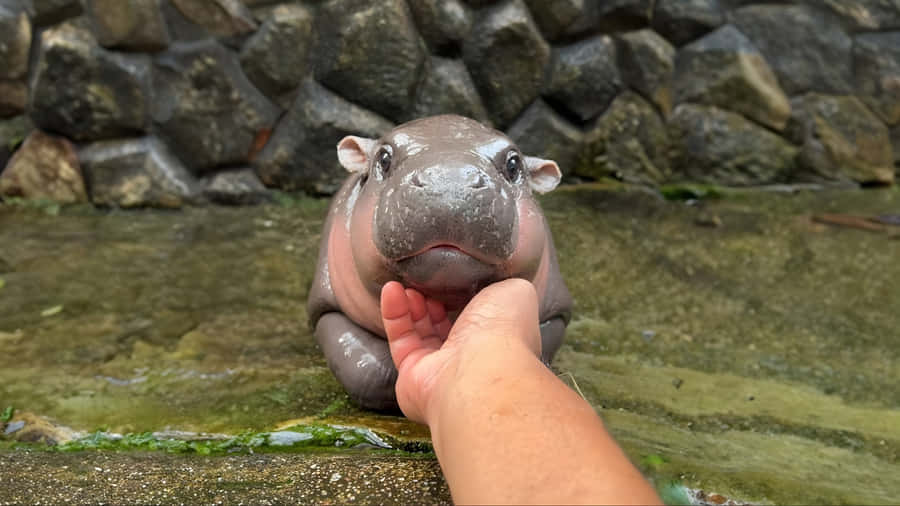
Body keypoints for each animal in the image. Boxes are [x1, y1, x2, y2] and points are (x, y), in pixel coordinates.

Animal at [307, 115, 572, 410]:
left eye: (514, 164)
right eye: (384, 158)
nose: (449, 183)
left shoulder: (556, 312)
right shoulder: (326, 307)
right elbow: (367, 369)